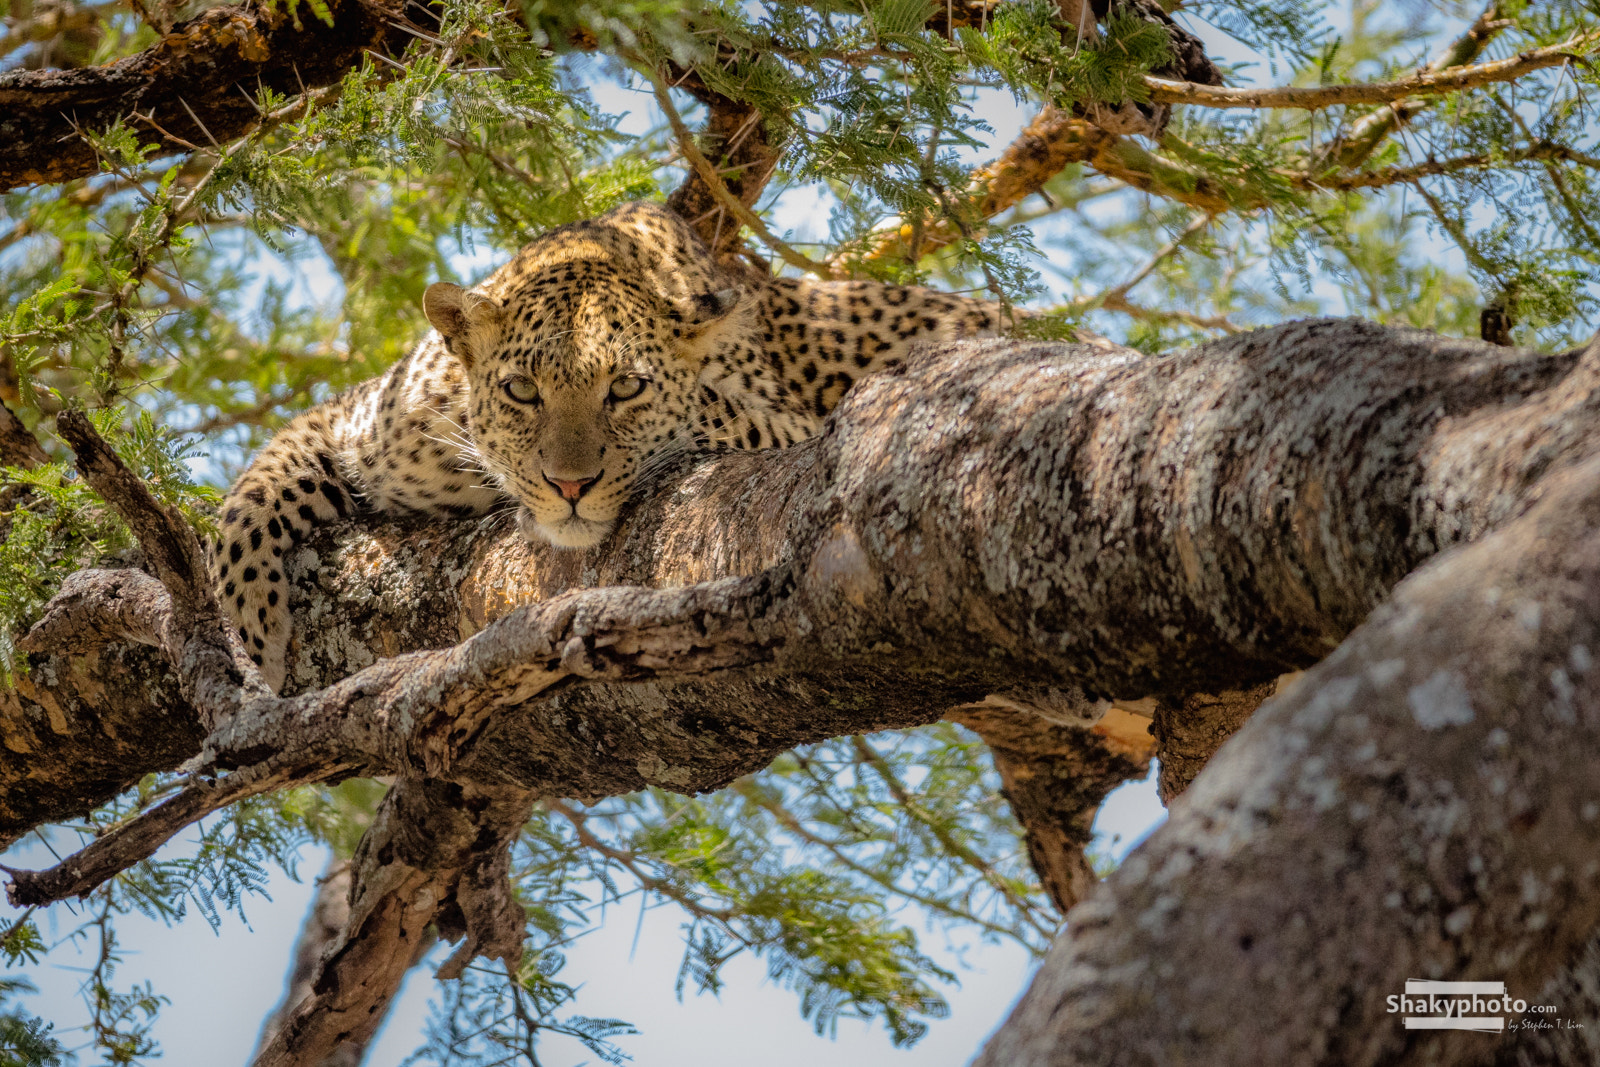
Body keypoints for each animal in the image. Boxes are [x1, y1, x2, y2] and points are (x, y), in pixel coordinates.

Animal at [215, 201, 1017, 692]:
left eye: (627, 388)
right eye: (522, 390)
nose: (570, 485)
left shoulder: (785, 423)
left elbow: (716, 411)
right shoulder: (364, 419)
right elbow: (251, 495)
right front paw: (252, 636)